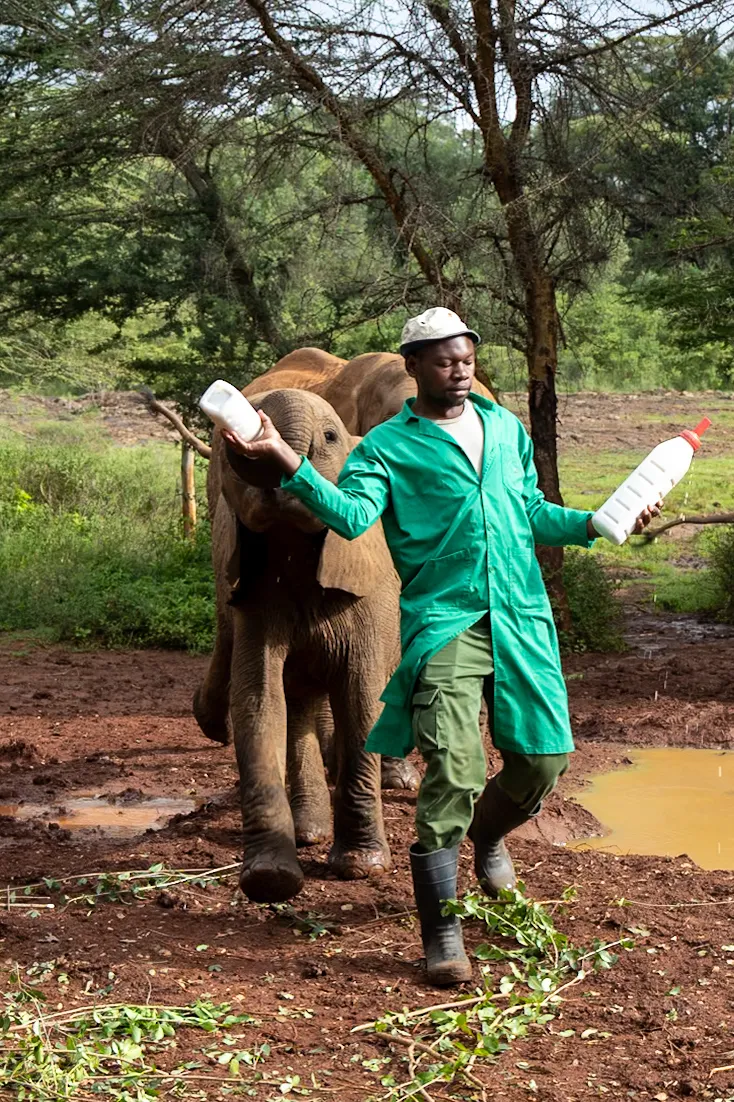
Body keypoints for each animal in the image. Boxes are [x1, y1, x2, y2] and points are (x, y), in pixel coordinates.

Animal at [193, 387, 400, 903]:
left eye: (329, 437)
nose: (253, 442)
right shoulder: (255, 595)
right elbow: (259, 702)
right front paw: (269, 879)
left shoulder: (367, 586)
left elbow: (361, 699)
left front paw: (361, 868)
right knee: (299, 701)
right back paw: (310, 832)